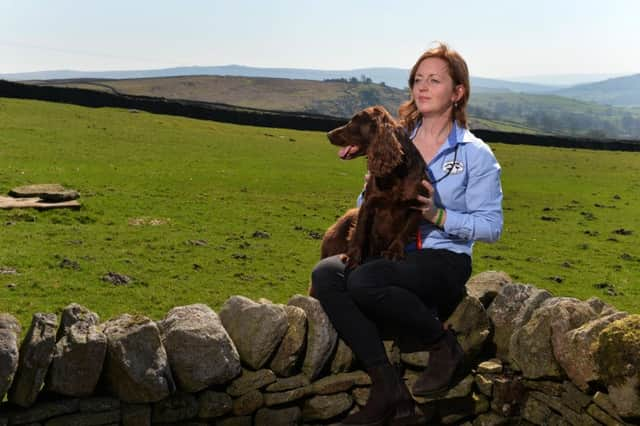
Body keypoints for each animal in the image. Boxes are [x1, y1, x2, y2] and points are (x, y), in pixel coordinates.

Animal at [322, 106, 428, 266]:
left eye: (354, 121)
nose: (328, 134)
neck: (395, 173)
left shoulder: (417, 206)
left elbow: (404, 232)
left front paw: (394, 252)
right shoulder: (368, 204)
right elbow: (360, 231)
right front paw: (353, 257)